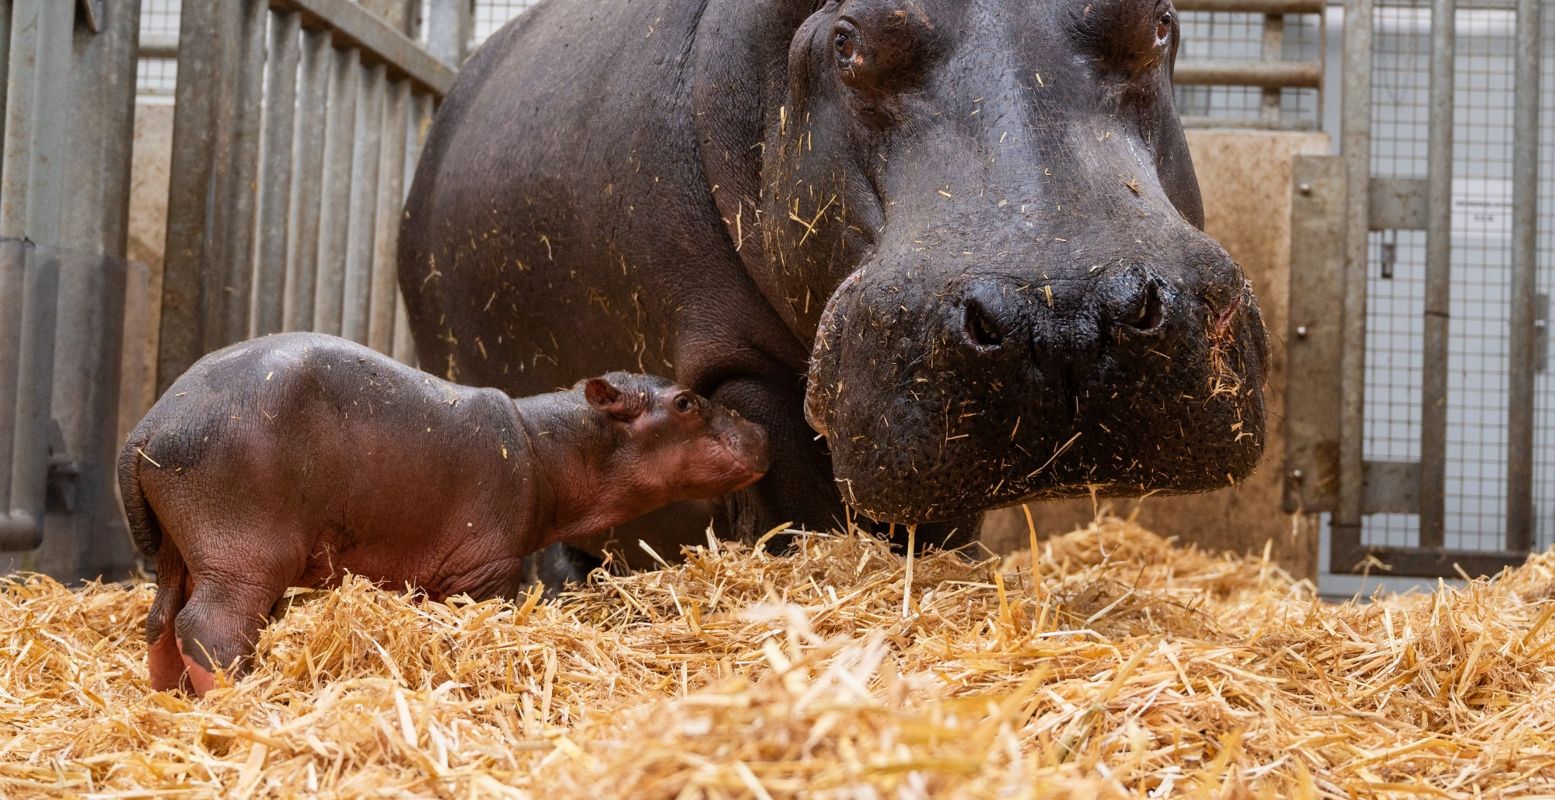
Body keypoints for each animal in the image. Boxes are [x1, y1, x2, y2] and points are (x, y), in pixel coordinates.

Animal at [118, 329, 768, 691]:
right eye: (685, 402)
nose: (762, 430)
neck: (550, 445)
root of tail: (149, 426)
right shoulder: (489, 568)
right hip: (244, 557)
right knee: (210, 628)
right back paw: (238, 701)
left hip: (182, 550)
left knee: (161, 621)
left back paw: (168, 699)